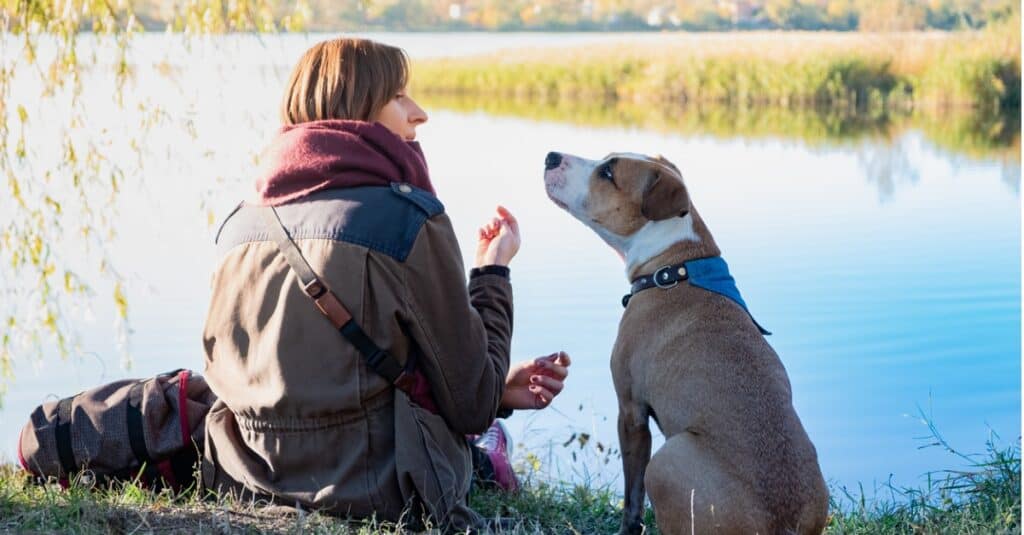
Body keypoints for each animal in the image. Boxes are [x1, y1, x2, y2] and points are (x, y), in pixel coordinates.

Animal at [540, 150, 827, 532]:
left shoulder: (631, 410)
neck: (673, 267)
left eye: (609, 173)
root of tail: (780, 525)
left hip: (667, 460)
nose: (551, 156)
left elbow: (632, 495)